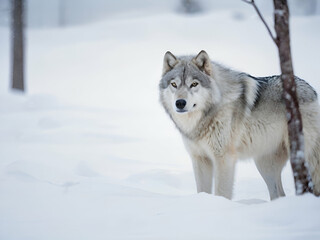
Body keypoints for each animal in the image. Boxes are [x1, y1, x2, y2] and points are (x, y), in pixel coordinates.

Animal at [159, 49, 320, 200]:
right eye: (174, 84)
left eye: (194, 84)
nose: (180, 103)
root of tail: (312, 90)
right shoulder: (199, 159)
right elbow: (202, 191)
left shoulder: (224, 159)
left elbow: (221, 193)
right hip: (265, 166)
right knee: (279, 194)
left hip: (302, 157)